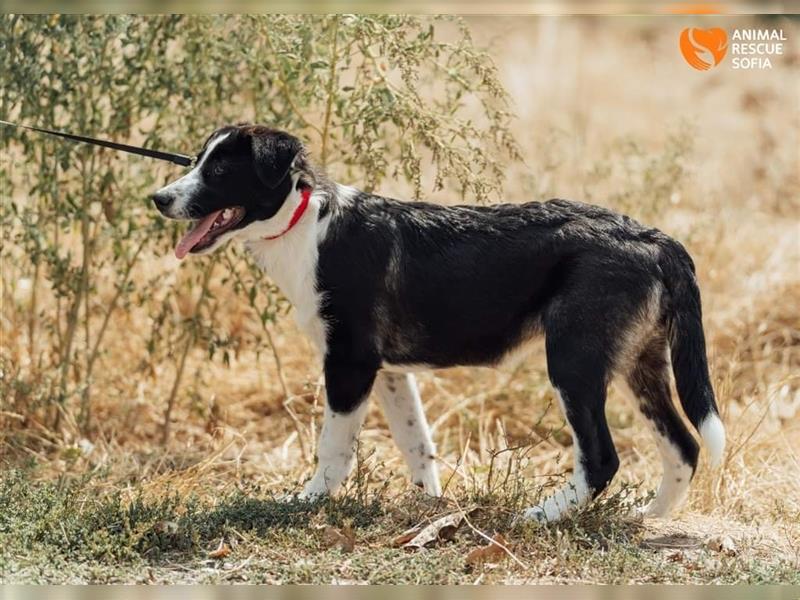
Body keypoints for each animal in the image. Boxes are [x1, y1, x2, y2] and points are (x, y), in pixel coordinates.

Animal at [153, 123, 728, 520]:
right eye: (195, 161)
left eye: (218, 172)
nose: (158, 198)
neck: (306, 224)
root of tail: (653, 237)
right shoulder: (388, 371)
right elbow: (417, 444)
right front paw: (429, 511)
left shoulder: (349, 364)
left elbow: (333, 449)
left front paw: (308, 502)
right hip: (640, 362)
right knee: (683, 445)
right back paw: (649, 517)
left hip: (574, 361)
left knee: (602, 458)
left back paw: (542, 516)